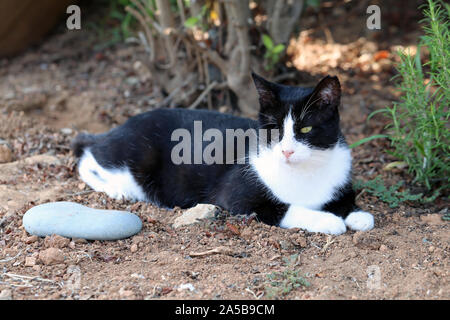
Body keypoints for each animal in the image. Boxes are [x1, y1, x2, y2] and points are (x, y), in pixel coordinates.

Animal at [73, 74, 372, 234]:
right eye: (274, 129)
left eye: (306, 128)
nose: (287, 151)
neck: (305, 170)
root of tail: (118, 127)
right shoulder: (240, 197)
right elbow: (284, 208)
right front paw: (329, 220)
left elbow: (346, 197)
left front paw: (357, 214)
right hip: (135, 154)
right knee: (88, 156)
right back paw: (117, 191)